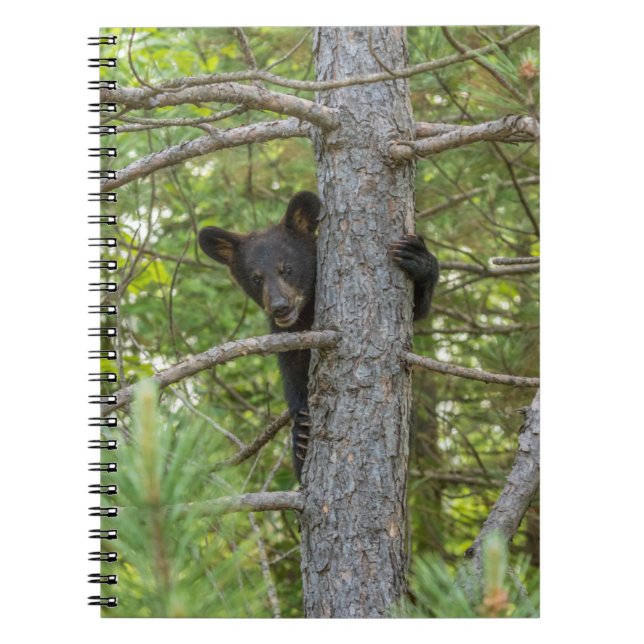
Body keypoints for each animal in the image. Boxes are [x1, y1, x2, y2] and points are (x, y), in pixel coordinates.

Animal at [198, 191, 439, 481]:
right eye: (256, 278)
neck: (306, 313)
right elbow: (292, 372)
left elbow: (417, 309)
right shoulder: (288, 335)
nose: (280, 306)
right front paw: (300, 431)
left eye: (287, 268)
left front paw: (419, 258)